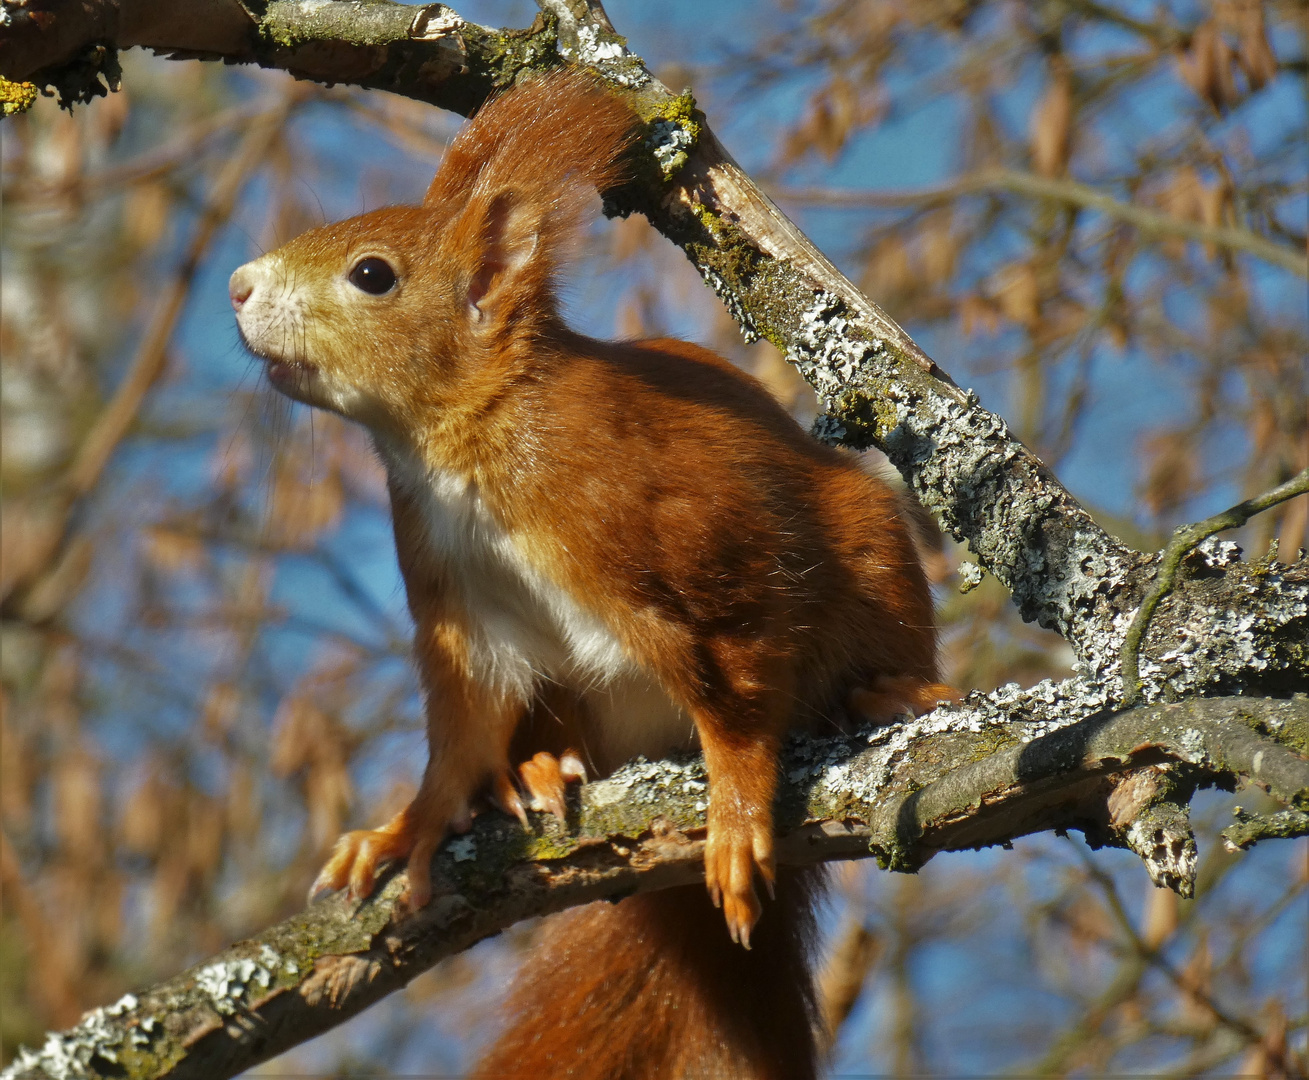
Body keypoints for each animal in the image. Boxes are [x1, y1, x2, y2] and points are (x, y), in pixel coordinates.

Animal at [233, 71, 952, 1073]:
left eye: (372, 274)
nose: (237, 285)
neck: (464, 448)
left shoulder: (687, 545)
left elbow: (738, 684)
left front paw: (736, 807)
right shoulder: (460, 612)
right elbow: (461, 731)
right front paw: (408, 826)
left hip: (872, 546)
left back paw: (891, 691)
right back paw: (539, 765)